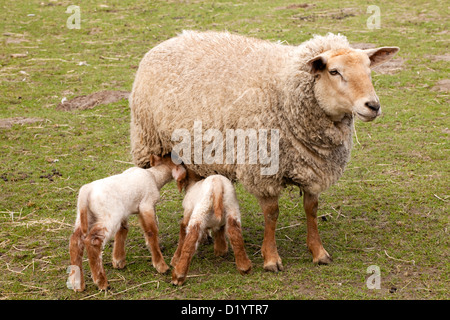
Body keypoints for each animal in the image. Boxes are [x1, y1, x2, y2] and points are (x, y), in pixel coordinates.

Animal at [67, 154, 186, 292]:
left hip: (85, 217)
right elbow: (152, 232)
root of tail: (86, 191)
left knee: (75, 241)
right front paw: (161, 265)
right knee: (93, 242)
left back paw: (77, 283)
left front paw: (118, 261)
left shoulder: (126, 212)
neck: (154, 175)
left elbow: (123, 230)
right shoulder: (146, 205)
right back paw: (101, 282)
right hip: (109, 217)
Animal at [128, 30, 400, 272]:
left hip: (196, 151)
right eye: (334, 71)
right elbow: (272, 214)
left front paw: (318, 252)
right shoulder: (262, 168)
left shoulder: (312, 168)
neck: (285, 93)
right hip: (151, 142)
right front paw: (271, 258)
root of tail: (172, 39)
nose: (373, 106)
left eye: (369, 69)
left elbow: (311, 210)